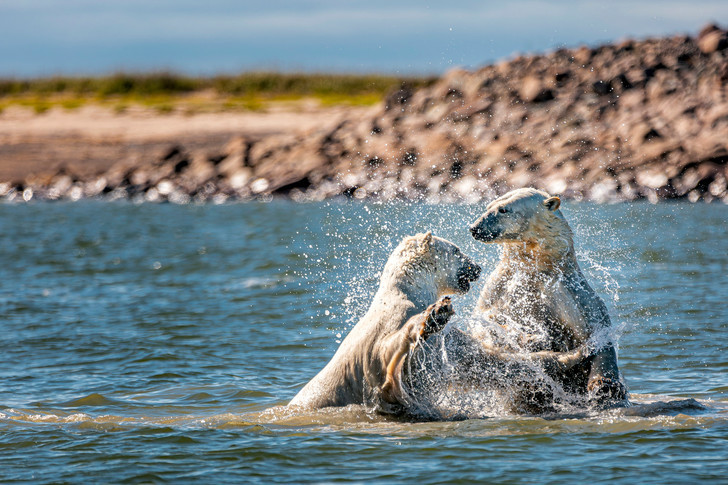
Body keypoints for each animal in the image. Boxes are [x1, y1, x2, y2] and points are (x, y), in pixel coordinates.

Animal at [290, 231, 584, 416]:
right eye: (457, 249)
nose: (477, 267)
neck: (406, 292)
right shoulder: (387, 332)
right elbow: (391, 351)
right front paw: (437, 313)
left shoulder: (448, 344)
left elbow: (481, 359)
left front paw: (559, 350)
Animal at [470, 187, 628, 402]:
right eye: (488, 206)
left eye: (503, 209)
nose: (475, 228)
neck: (536, 266)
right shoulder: (500, 287)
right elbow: (483, 321)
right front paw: (530, 338)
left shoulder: (573, 294)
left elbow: (598, 334)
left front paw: (605, 385)